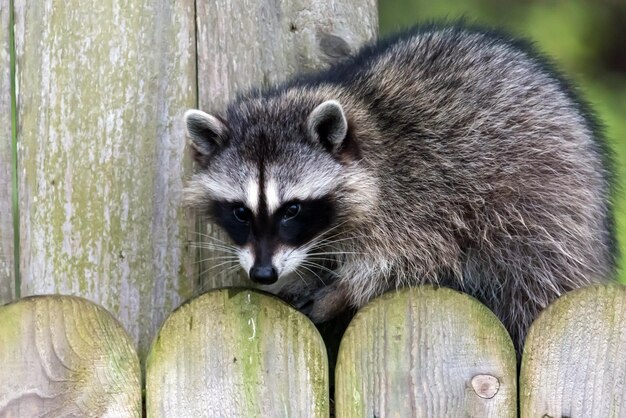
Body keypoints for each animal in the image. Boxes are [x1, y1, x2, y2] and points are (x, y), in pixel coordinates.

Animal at [183, 22, 612, 350]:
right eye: (241, 212)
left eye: (292, 209)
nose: (263, 274)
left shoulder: (425, 195)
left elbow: (409, 260)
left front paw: (344, 290)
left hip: (543, 212)